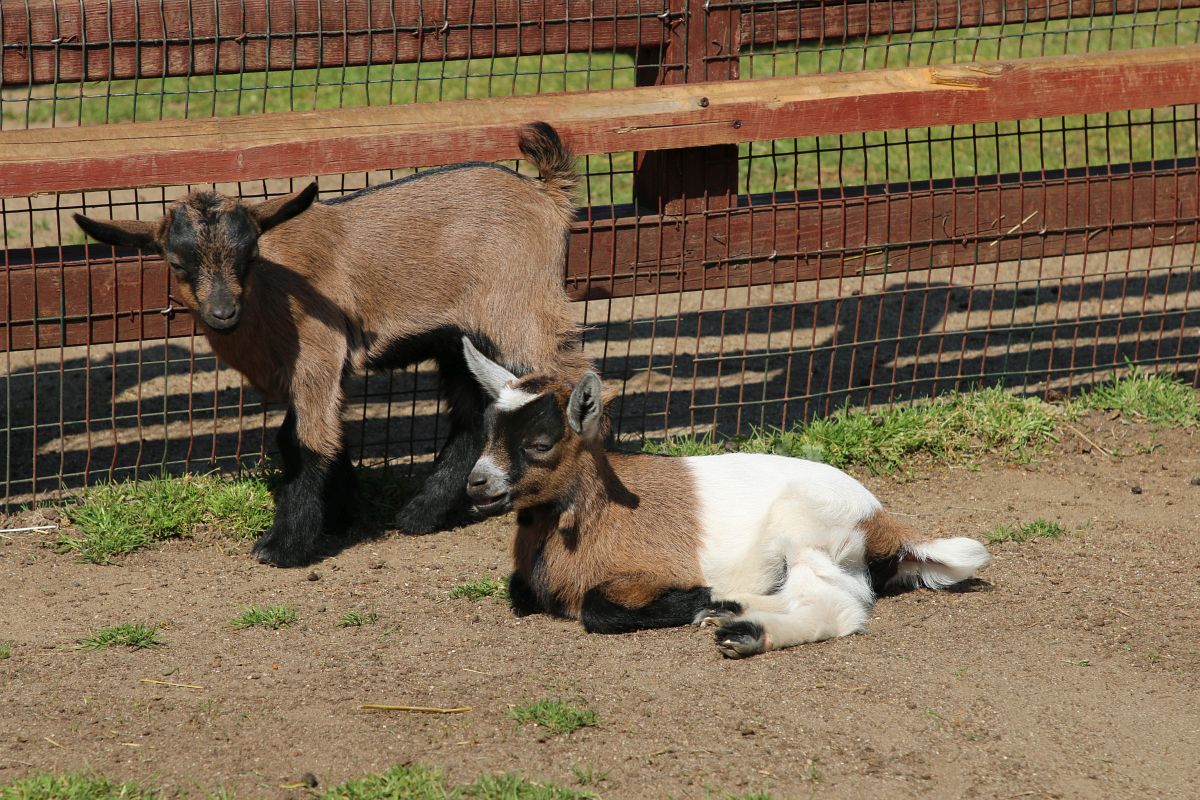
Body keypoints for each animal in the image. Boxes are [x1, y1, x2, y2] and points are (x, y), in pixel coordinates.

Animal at [75, 120, 590, 568]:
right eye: (178, 263)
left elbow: (309, 441)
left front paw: (283, 546)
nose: (223, 312)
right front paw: (341, 514)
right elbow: (303, 436)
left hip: (524, 317)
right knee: (475, 416)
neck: (272, 295)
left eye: (249, 256)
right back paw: (421, 514)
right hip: (464, 344)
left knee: (569, 386)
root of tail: (546, 196)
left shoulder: (318, 356)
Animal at [458, 338, 993, 657]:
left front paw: (695, 599)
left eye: (539, 444)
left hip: (808, 530)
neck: (597, 514)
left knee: (837, 606)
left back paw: (745, 633)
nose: (476, 485)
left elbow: (596, 608)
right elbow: (518, 589)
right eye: (487, 432)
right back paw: (730, 609)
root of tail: (882, 520)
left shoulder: (643, 573)